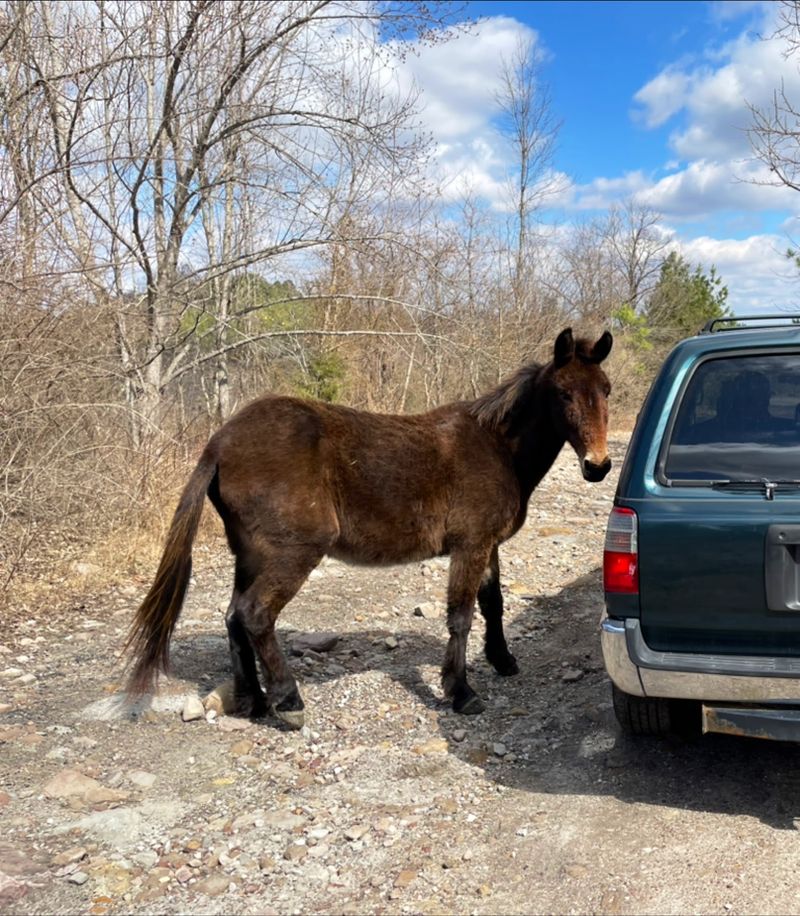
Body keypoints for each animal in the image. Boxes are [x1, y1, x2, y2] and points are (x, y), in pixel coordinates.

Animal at [125, 327, 613, 727]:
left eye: (606, 390)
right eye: (564, 394)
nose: (599, 466)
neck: (497, 447)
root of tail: (220, 441)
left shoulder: (487, 544)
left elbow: (493, 604)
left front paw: (503, 660)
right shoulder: (470, 545)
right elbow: (460, 617)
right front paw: (461, 692)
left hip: (249, 553)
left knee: (232, 617)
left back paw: (254, 702)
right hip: (292, 552)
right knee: (255, 614)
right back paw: (289, 701)